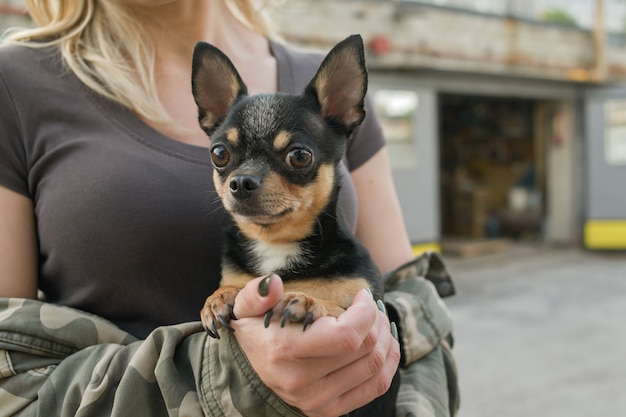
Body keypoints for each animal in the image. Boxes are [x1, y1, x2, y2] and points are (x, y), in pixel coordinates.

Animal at [190, 35, 398, 416]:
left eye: (299, 156)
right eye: (219, 154)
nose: (241, 182)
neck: (277, 244)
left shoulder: (369, 310)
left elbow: (336, 306)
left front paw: (306, 301)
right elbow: (232, 285)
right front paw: (219, 297)